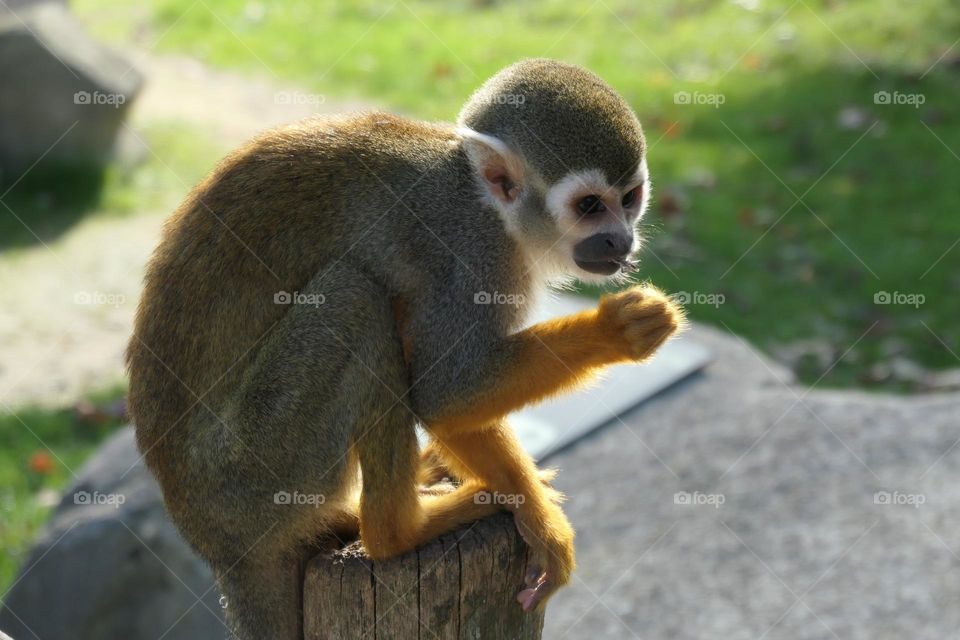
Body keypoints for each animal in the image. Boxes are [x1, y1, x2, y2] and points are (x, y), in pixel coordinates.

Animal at [126, 58, 684, 639]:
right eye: (590, 206)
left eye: (629, 199)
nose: (621, 240)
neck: (490, 208)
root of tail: (217, 547)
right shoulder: (470, 257)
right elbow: (445, 391)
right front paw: (616, 331)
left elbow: (452, 408)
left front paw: (530, 511)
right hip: (252, 469)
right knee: (356, 299)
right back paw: (399, 532)